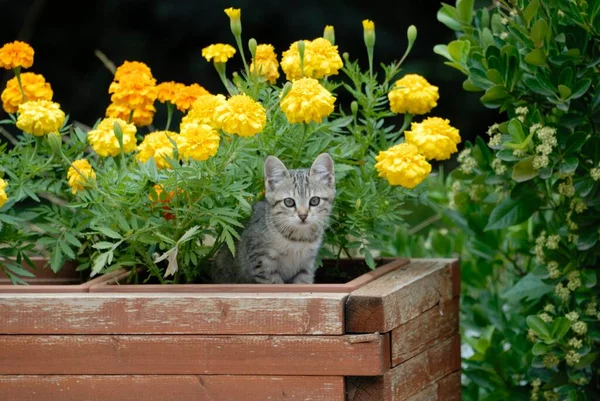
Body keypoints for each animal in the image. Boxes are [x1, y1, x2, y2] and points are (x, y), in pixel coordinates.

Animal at [212, 153, 336, 284]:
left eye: (314, 200)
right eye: (289, 202)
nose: (303, 215)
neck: (298, 239)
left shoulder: (306, 265)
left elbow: (302, 282)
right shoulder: (262, 262)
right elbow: (274, 283)